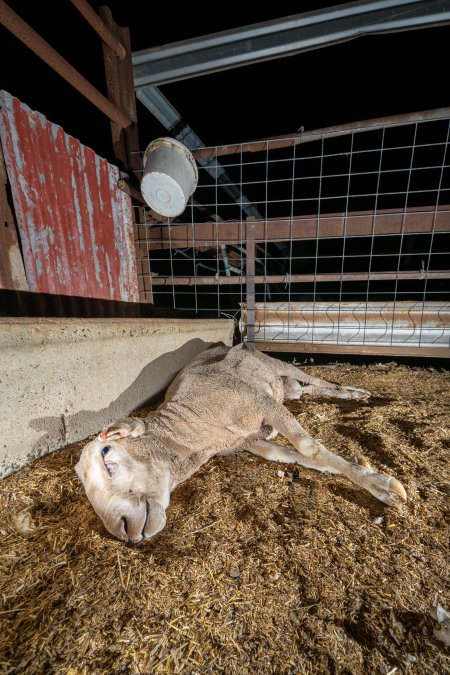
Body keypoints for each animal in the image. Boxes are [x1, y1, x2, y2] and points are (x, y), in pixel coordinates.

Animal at [75, 344, 406, 544]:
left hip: (278, 364)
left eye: (106, 454)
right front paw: (362, 470)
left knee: (319, 381)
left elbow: (309, 448)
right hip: (287, 388)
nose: (120, 529)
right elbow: (298, 457)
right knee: (306, 390)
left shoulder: (259, 401)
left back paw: (353, 393)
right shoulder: (249, 442)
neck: (195, 431)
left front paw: (379, 485)